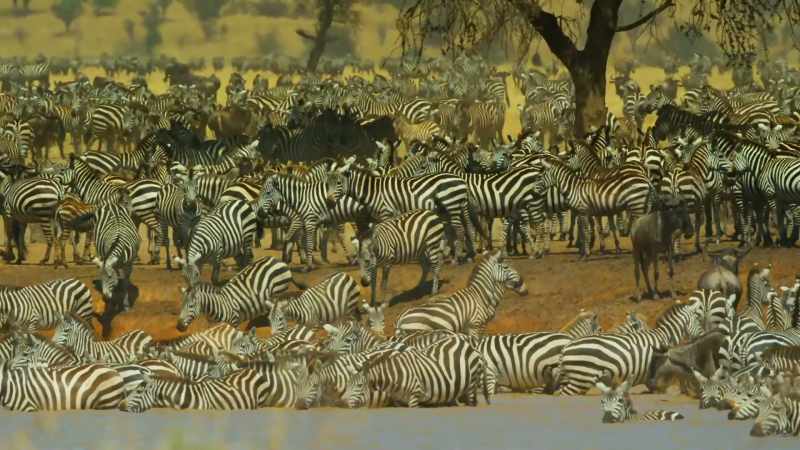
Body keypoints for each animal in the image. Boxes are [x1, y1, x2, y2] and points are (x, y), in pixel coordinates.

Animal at [557, 301, 702, 395]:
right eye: (697, 320)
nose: (701, 335)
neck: (665, 336)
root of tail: (566, 348)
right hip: (582, 379)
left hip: (575, 378)